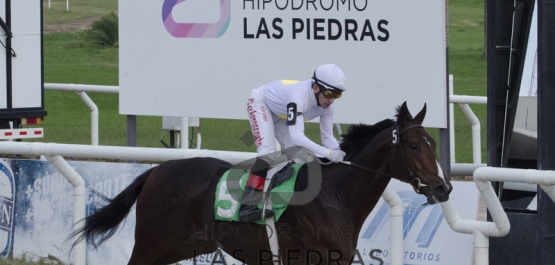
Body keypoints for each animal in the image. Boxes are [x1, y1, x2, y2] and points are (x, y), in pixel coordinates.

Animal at [71, 101, 454, 264]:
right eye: (414, 145)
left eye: (433, 144)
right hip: (152, 243)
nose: (443, 188)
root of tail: (156, 171)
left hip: (184, 247)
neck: (335, 195)